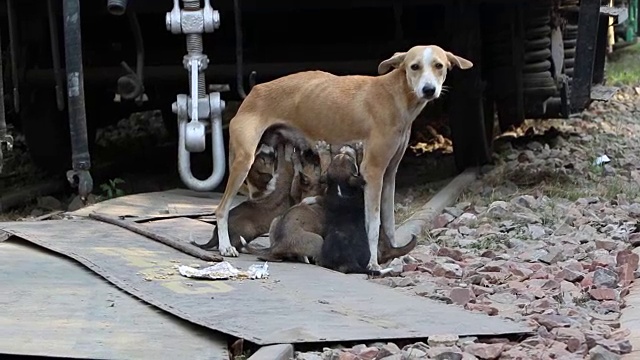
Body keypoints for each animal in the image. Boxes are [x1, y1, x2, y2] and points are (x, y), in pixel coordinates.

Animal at [316, 143, 380, 276]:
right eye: (350, 160)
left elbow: (325, 169)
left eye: (346, 157)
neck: (340, 185)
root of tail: (351, 260)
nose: (346, 147)